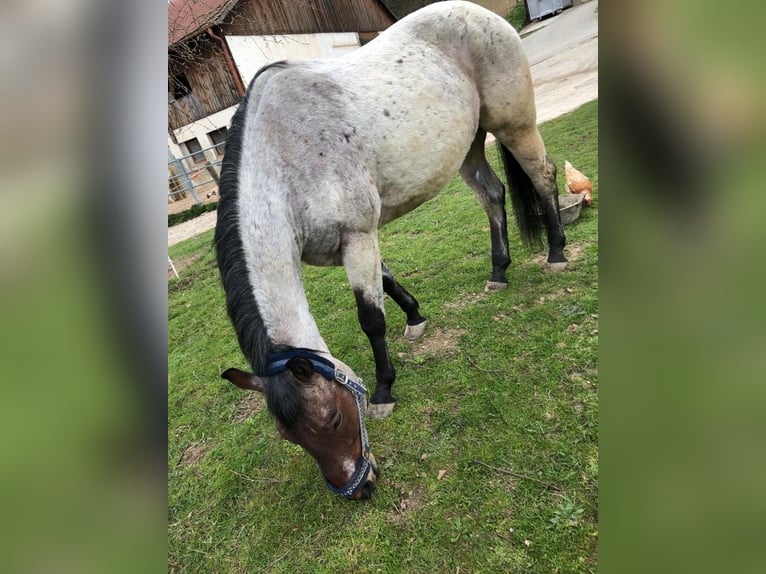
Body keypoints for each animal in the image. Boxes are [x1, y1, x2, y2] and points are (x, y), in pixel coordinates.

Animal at [213, 2, 568, 502]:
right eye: (291, 438)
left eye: (334, 419)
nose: (358, 488)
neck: (287, 153)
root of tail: (482, 14)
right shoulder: (352, 242)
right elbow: (386, 281)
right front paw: (416, 318)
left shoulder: (358, 235)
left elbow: (371, 317)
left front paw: (384, 390)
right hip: (468, 145)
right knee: (493, 196)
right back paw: (498, 272)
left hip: (515, 126)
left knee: (543, 177)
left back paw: (557, 253)